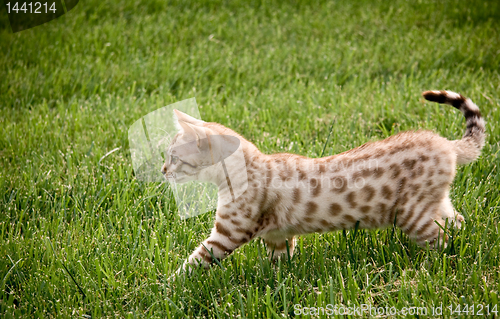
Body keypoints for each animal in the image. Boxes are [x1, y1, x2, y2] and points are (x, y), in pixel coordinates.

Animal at [163, 91, 484, 274]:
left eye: (174, 157)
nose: (164, 170)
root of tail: (445, 143)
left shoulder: (228, 233)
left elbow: (193, 262)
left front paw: (169, 286)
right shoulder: (278, 236)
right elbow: (278, 266)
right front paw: (277, 283)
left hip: (411, 215)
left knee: (441, 242)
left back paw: (430, 270)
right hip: (433, 205)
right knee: (457, 222)